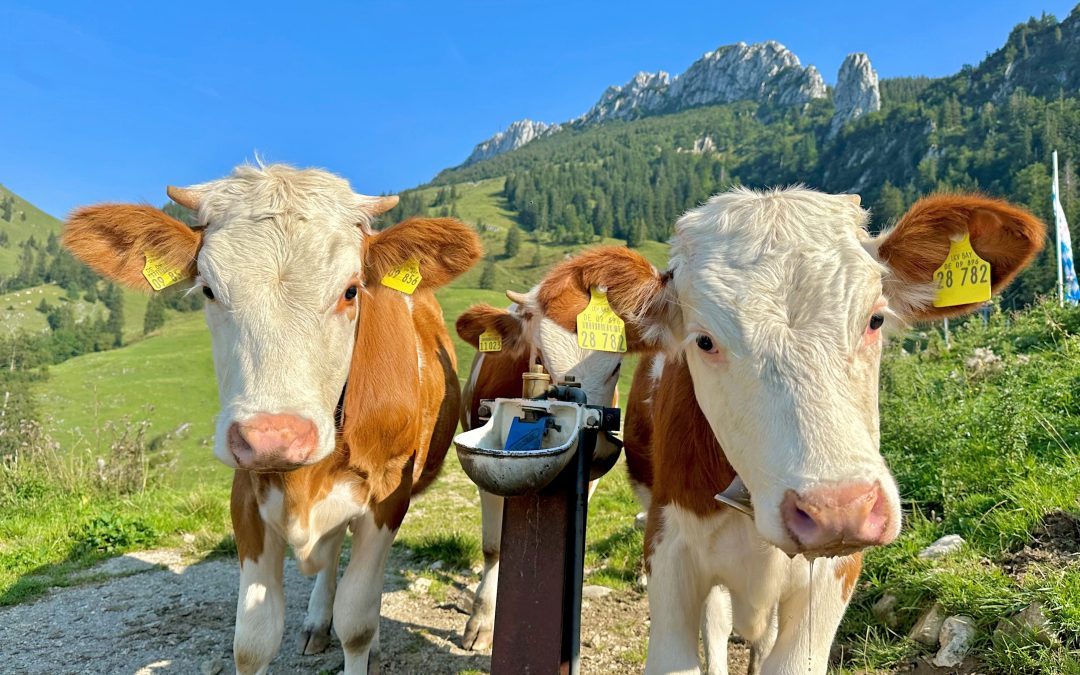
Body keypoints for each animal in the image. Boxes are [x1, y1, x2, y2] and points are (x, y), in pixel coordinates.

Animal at [60, 164, 481, 673]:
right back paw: (317, 620)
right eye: (208, 289)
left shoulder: (388, 491)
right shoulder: (246, 491)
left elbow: (357, 623)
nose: (274, 438)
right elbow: (254, 639)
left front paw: (366, 639)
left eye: (350, 291)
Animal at [535, 185, 1041, 673]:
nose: (839, 509)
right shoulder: (670, 548)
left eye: (875, 319)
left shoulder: (835, 572)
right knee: (717, 625)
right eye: (704, 341)